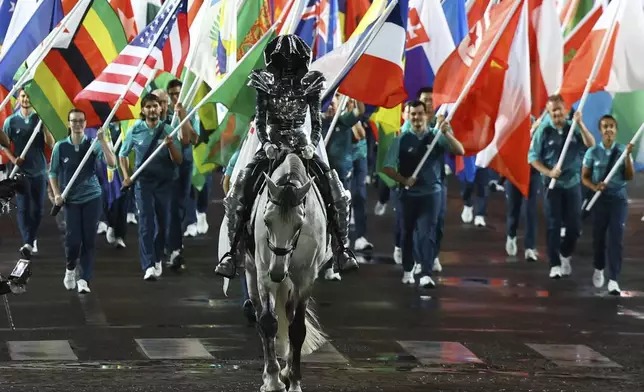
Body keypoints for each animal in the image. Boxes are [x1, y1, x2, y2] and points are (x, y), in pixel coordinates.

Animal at [244, 153, 330, 392]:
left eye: (299, 224)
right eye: (266, 220)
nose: (277, 272)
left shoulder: (306, 278)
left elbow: (297, 329)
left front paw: (294, 381)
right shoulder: (263, 274)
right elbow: (268, 323)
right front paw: (273, 380)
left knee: (290, 315)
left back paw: (288, 370)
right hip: (251, 272)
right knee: (259, 317)